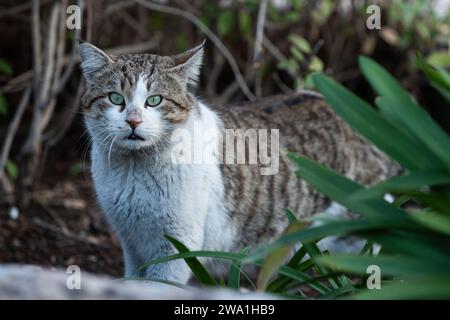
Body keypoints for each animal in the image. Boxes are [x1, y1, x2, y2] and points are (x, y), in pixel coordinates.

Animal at [79, 41, 400, 284]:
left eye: (154, 101)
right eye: (115, 98)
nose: (133, 120)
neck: (133, 169)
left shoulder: (175, 244)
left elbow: (159, 286)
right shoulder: (132, 243)